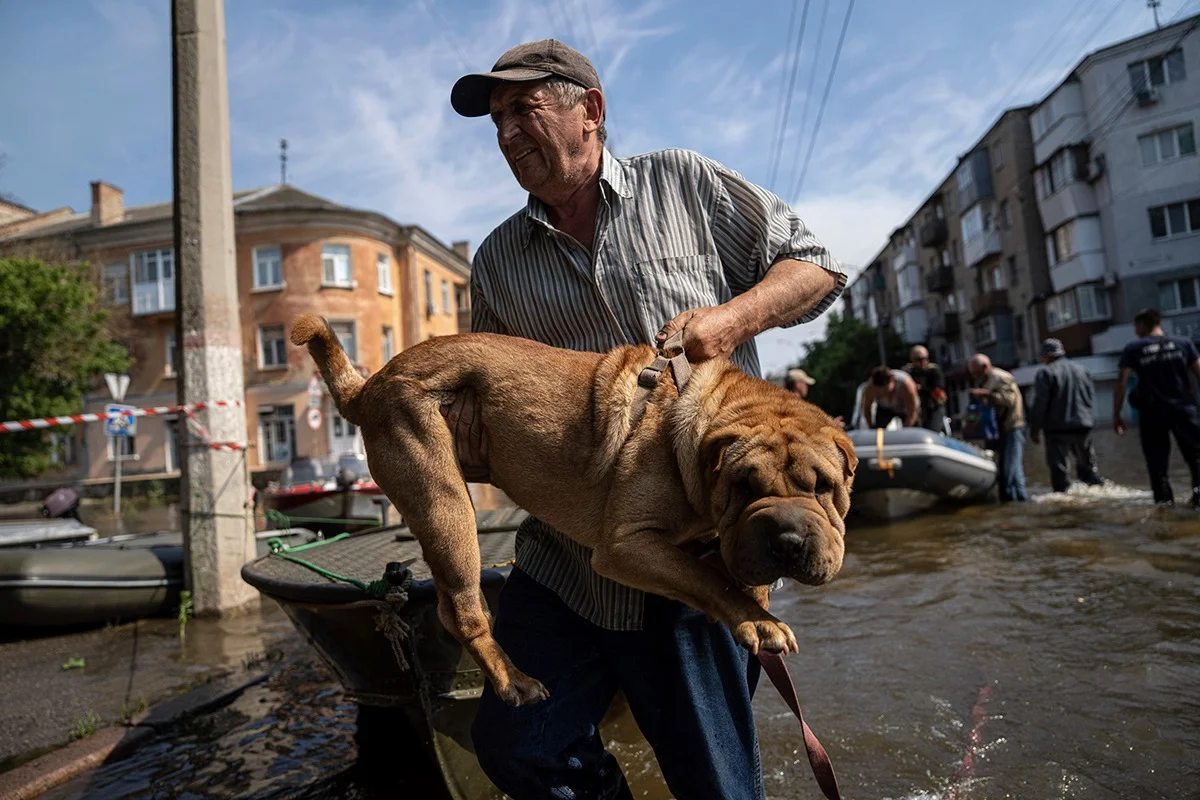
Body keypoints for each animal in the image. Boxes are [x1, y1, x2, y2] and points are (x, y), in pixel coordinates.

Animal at [289, 314, 854, 705]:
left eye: (825, 488)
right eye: (743, 484)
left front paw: (758, 603)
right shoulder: (627, 545)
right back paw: (514, 681)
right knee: (465, 612)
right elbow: (706, 579)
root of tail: (371, 384)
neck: (695, 434)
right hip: (445, 503)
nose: (787, 538)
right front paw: (755, 620)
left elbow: (729, 572)